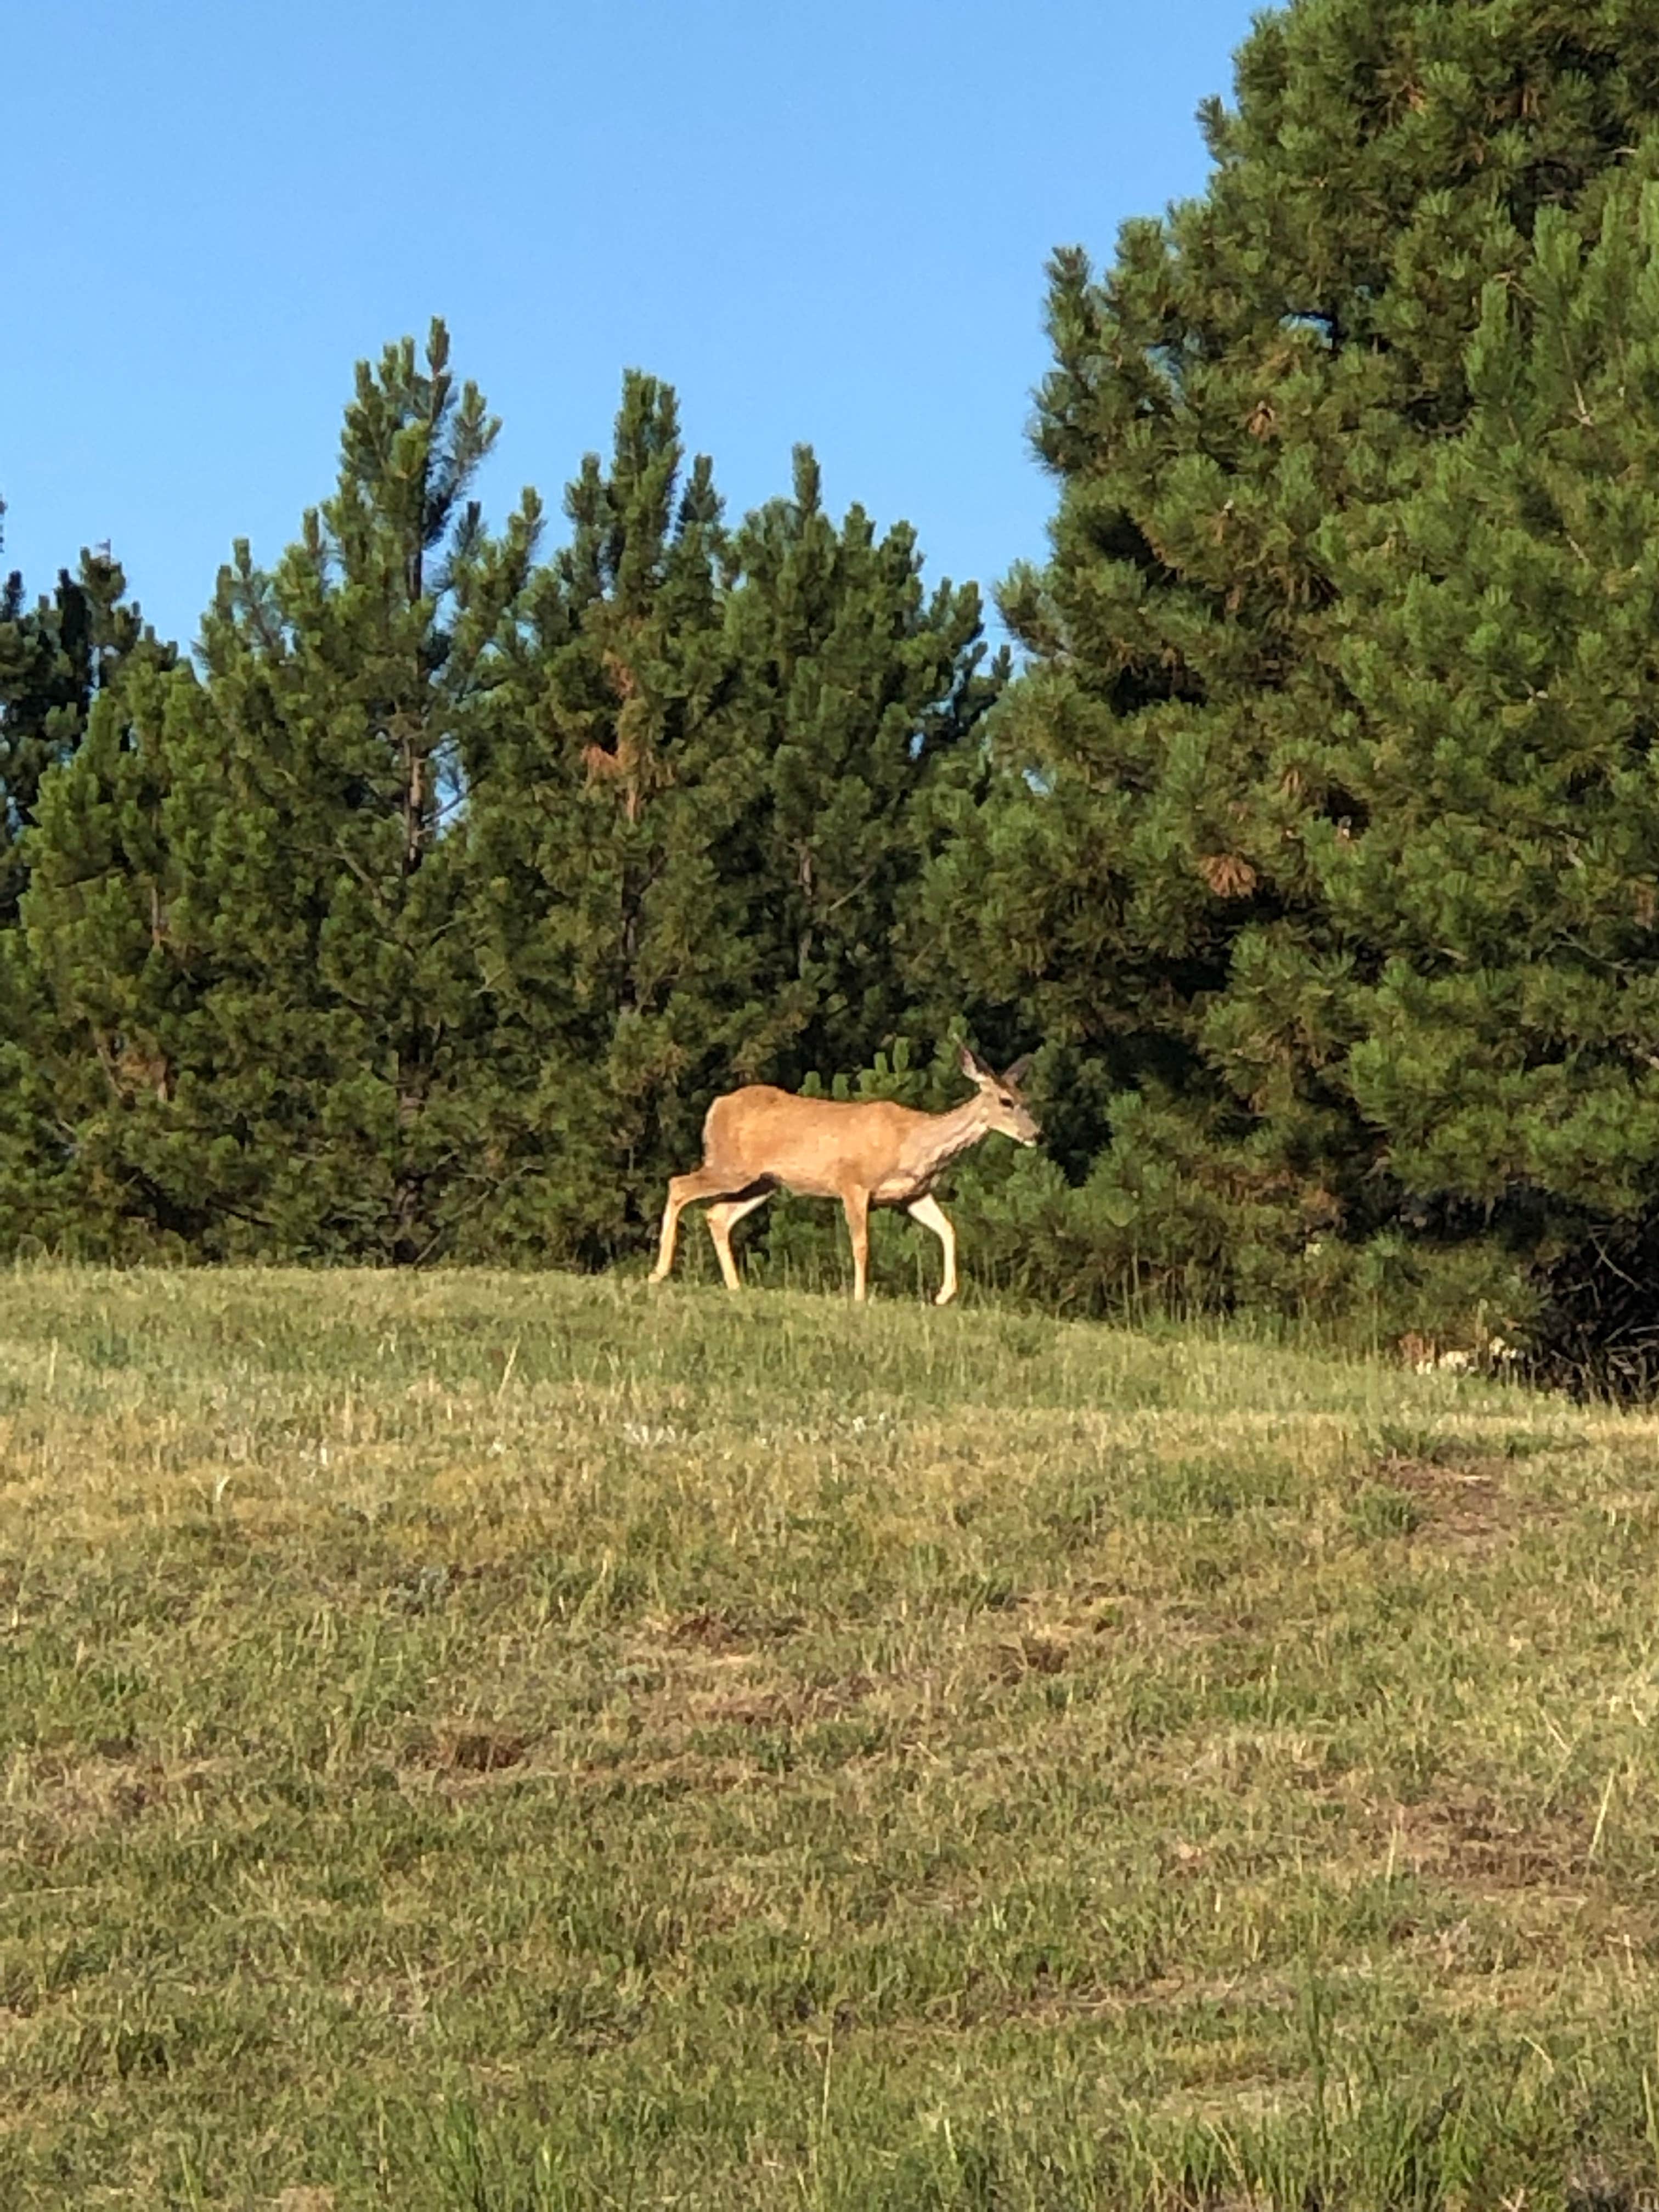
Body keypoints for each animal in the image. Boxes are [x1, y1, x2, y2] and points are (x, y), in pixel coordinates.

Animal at [650, 1048, 1040, 1300]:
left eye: (1026, 1099)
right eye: (1006, 1102)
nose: (1037, 1134)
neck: (913, 1143)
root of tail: (716, 1108)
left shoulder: (912, 1195)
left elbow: (948, 1229)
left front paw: (944, 1295)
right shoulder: (854, 1183)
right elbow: (862, 1244)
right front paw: (859, 1297)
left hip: (762, 1182)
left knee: (716, 1214)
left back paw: (735, 1286)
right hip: (731, 1167)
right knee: (679, 1185)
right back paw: (659, 1273)